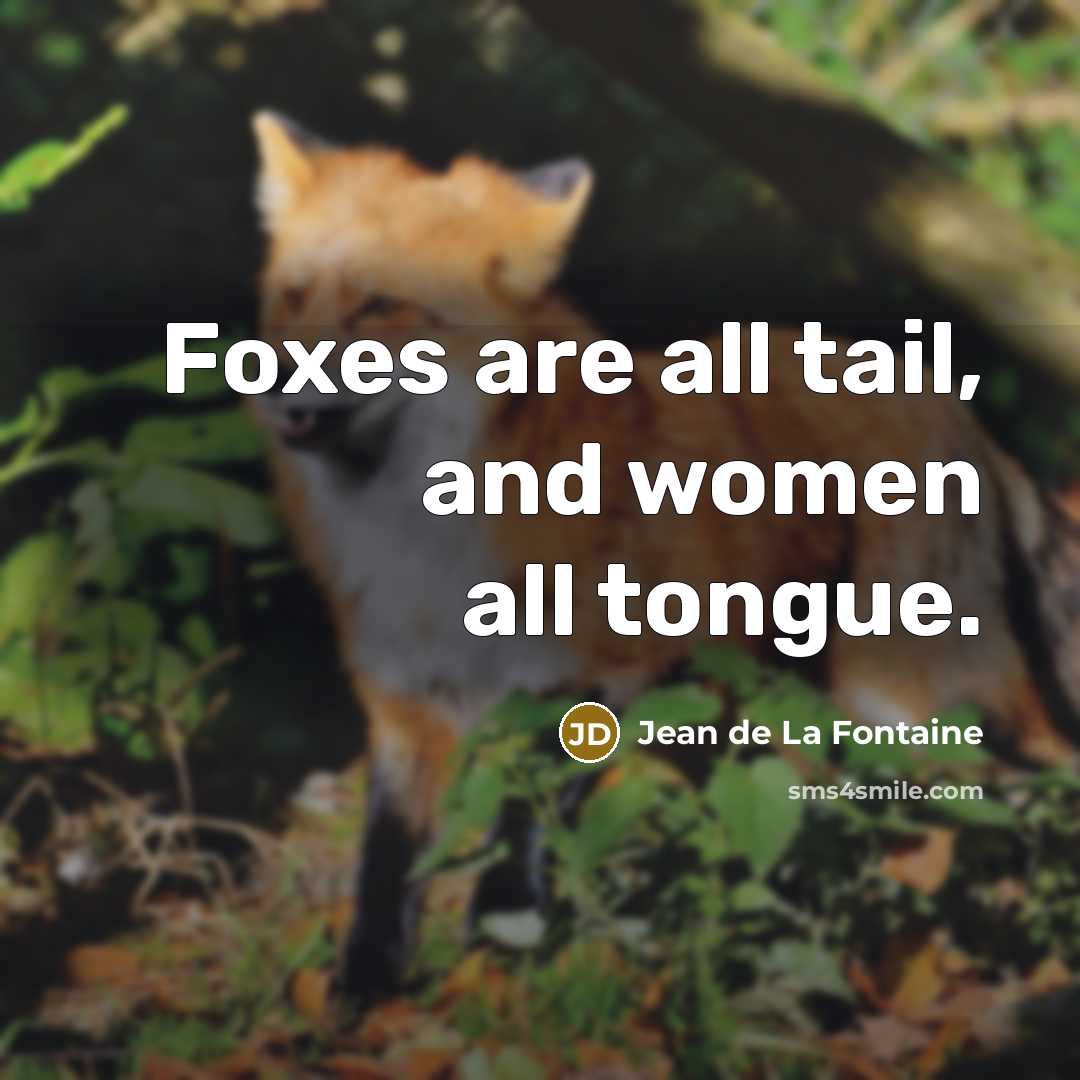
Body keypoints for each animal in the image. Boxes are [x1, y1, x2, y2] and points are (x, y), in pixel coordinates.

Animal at [248, 111, 1080, 1001]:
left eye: (380, 306)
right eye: (294, 296)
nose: (274, 383)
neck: (421, 536)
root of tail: (952, 403)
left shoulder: (618, 669)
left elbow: (529, 811)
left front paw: (507, 925)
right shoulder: (407, 702)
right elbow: (389, 859)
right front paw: (364, 982)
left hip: (918, 700)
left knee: (1032, 774)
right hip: (763, 712)